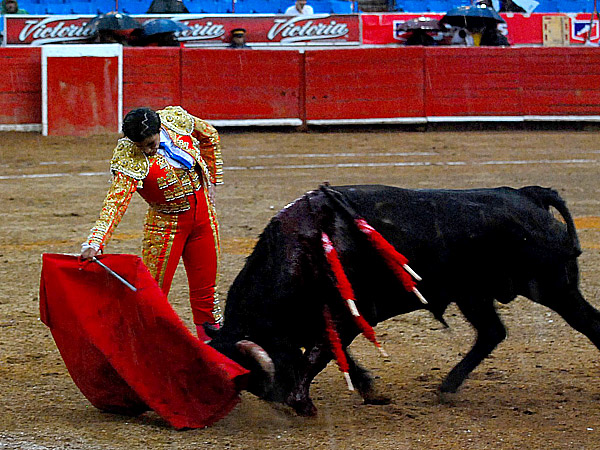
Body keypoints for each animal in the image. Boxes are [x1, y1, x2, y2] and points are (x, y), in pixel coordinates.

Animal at [209, 185, 596, 416]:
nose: (276, 401)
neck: (300, 251)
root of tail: (529, 195)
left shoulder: (350, 315)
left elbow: (320, 355)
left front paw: (302, 402)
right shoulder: (330, 321)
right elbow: (336, 354)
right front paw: (371, 390)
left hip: (555, 289)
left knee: (590, 324)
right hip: (473, 295)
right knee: (491, 332)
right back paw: (447, 388)